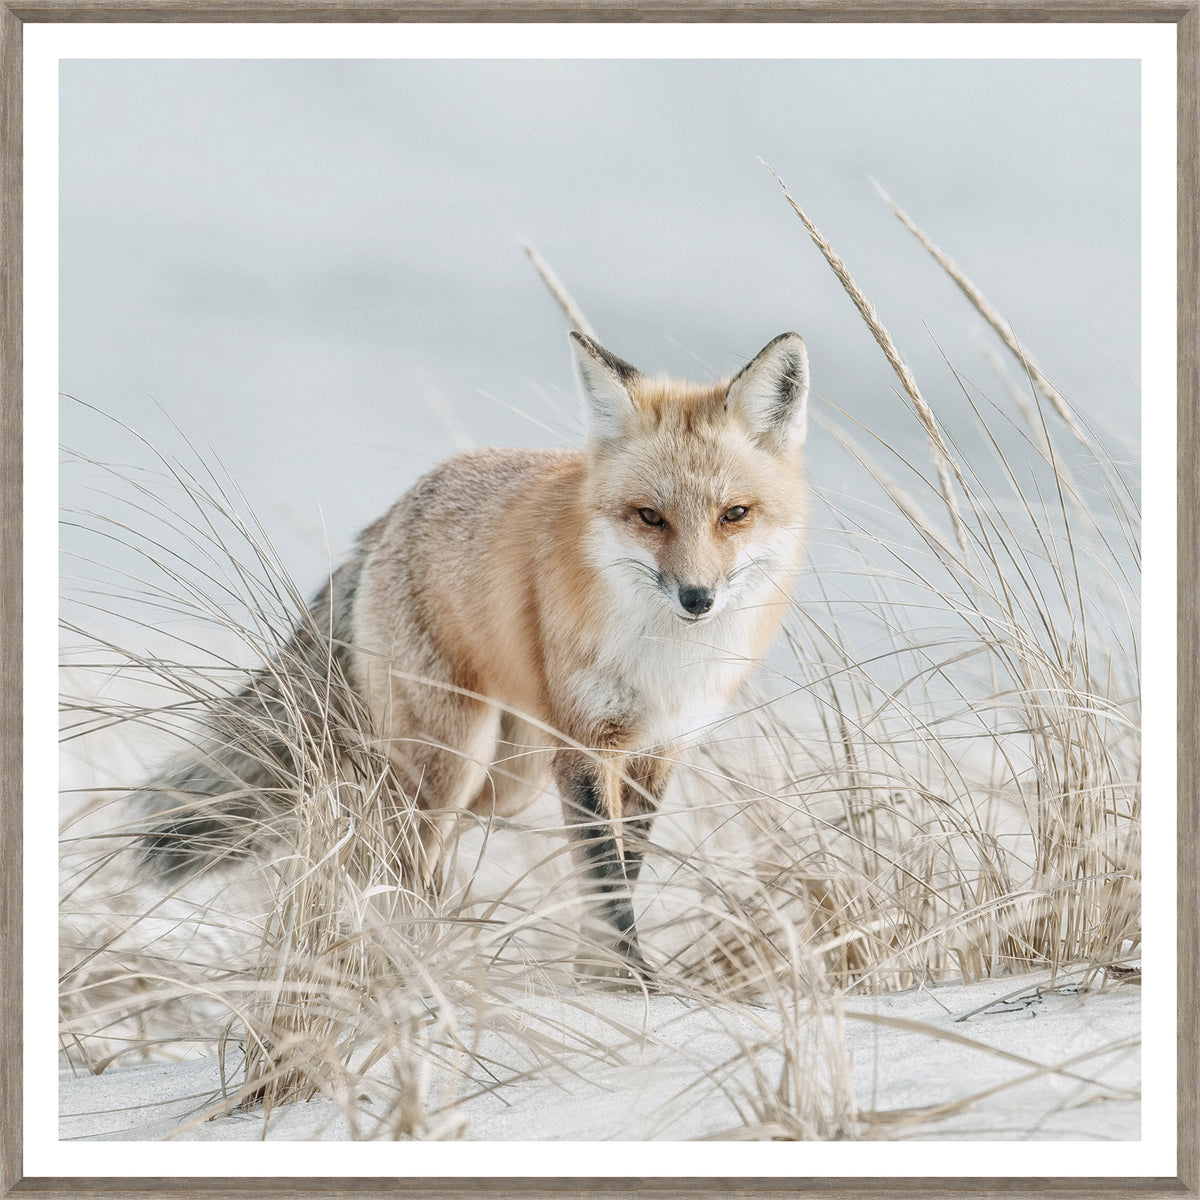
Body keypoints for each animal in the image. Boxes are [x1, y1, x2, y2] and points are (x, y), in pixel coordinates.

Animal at [131, 329, 811, 981]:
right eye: (649, 516)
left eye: (734, 514)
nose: (697, 598)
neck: (667, 658)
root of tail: (390, 515)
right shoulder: (588, 746)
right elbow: (607, 879)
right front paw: (627, 982)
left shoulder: (657, 748)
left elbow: (625, 869)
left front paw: (601, 978)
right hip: (453, 760)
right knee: (392, 856)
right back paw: (399, 960)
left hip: (509, 780)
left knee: (410, 854)